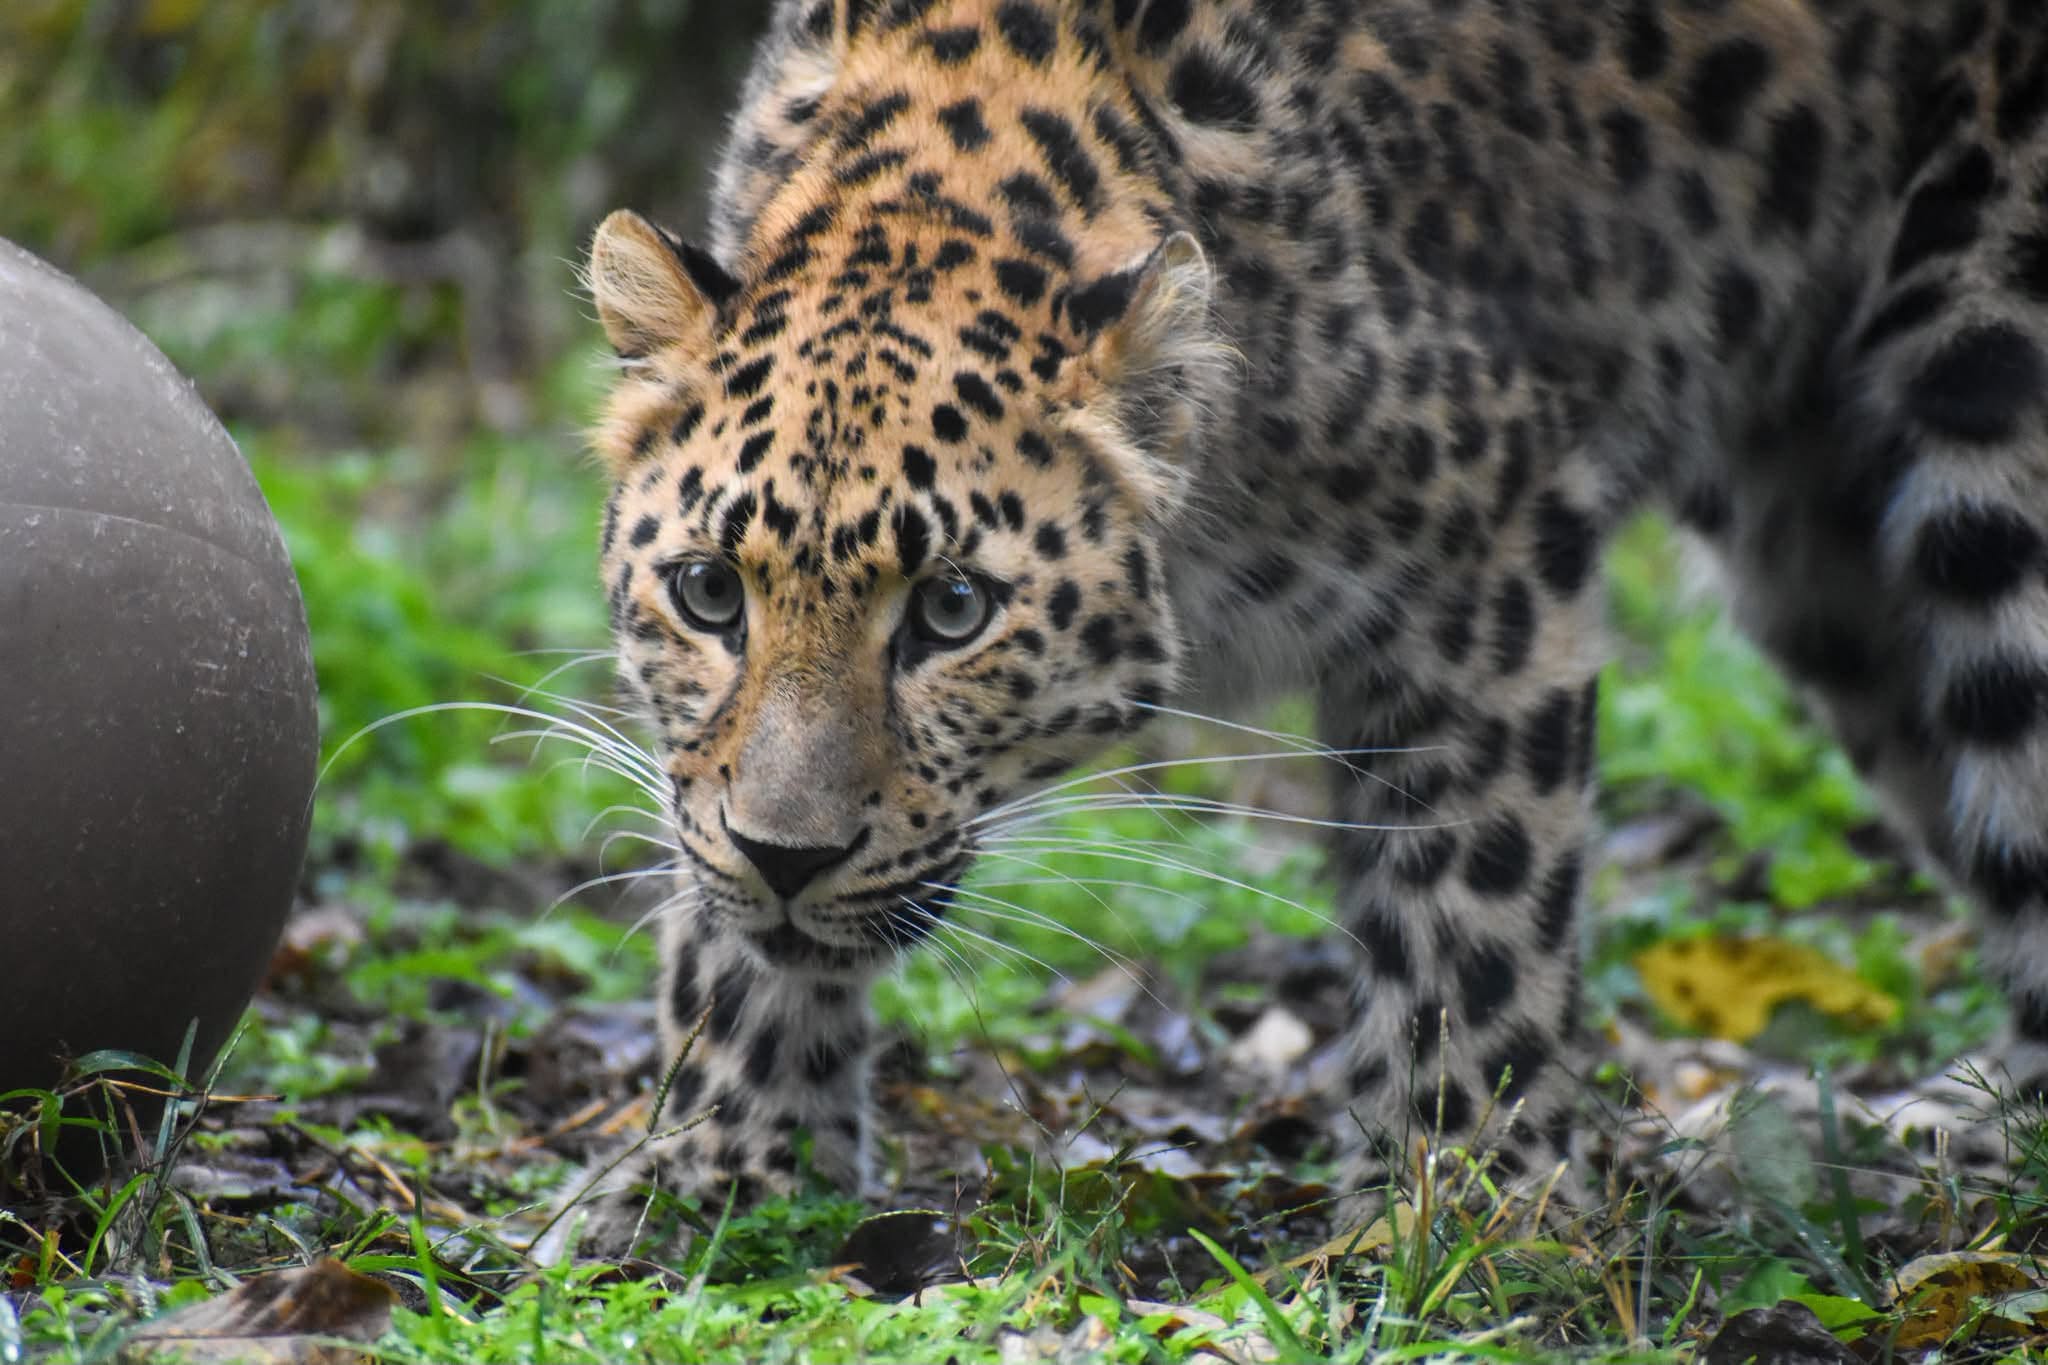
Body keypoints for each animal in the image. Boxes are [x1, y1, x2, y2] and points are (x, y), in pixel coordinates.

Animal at [542, 0, 2048, 1255]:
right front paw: (722, 1168)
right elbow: (716, 906)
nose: (789, 858)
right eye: (709, 593)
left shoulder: (1494, 555)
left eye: (953, 610)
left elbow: (1468, 901)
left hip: (1990, 408)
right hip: (1820, 551)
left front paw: (1464, 1208)